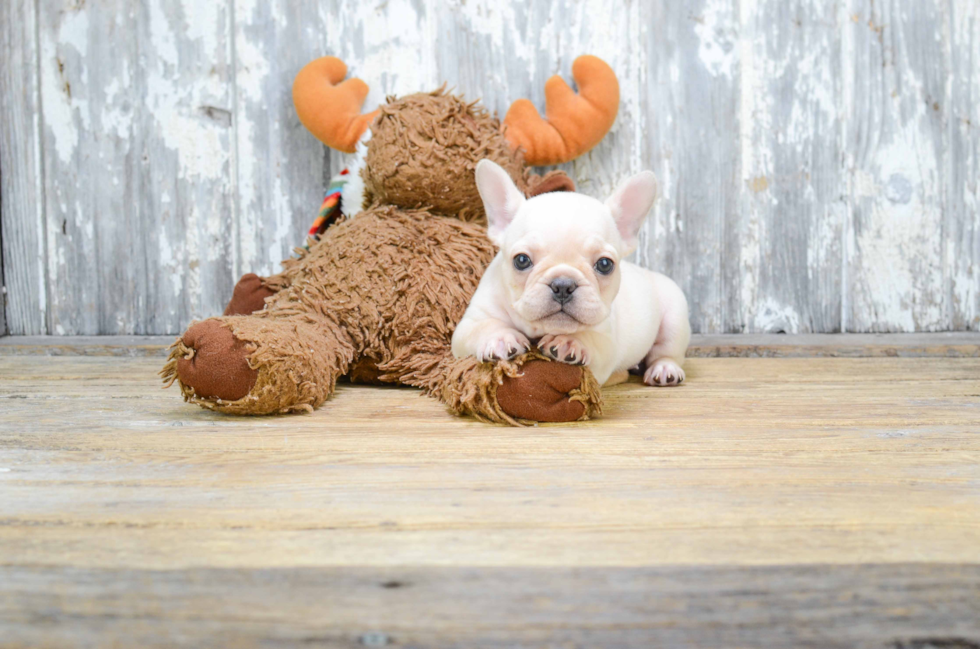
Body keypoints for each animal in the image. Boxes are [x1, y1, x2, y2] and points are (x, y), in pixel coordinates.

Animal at [450, 159, 688, 388]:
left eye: (604, 264)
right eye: (521, 260)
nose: (563, 285)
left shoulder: (606, 342)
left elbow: (592, 339)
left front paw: (570, 342)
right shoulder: (469, 324)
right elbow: (483, 326)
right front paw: (501, 338)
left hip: (675, 317)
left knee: (666, 352)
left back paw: (664, 370)